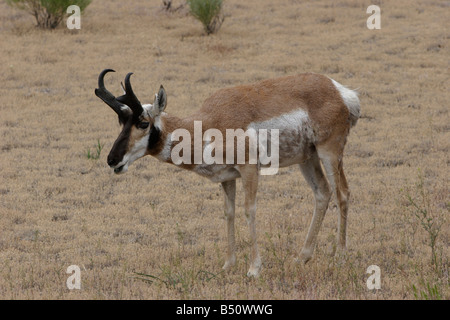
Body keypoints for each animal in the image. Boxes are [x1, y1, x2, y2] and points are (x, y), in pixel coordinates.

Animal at [94, 69, 358, 276]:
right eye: (121, 122)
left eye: (143, 122)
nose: (112, 160)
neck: (209, 123)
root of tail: (339, 91)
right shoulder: (228, 178)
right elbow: (229, 213)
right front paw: (228, 265)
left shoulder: (250, 170)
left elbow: (249, 210)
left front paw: (254, 269)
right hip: (308, 159)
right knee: (322, 193)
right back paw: (302, 257)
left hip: (329, 153)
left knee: (343, 193)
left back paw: (340, 256)